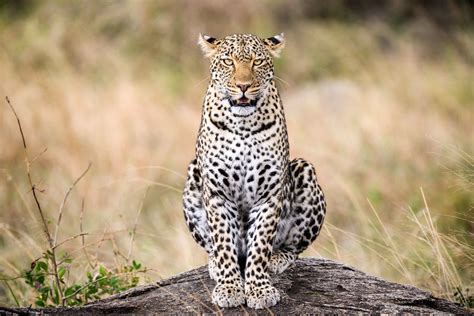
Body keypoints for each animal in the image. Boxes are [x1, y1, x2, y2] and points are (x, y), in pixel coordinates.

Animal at [182, 32, 326, 308]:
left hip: (304, 169)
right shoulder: (217, 192)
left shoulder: (269, 195)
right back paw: (215, 265)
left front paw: (259, 289)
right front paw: (229, 287)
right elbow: (223, 241)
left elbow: (260, 245)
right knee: (213, 247)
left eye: (257, 61)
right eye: (228, 61)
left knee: (293, 249)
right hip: (193, 173)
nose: (243, 86)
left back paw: (277, 259)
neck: (243, 125)